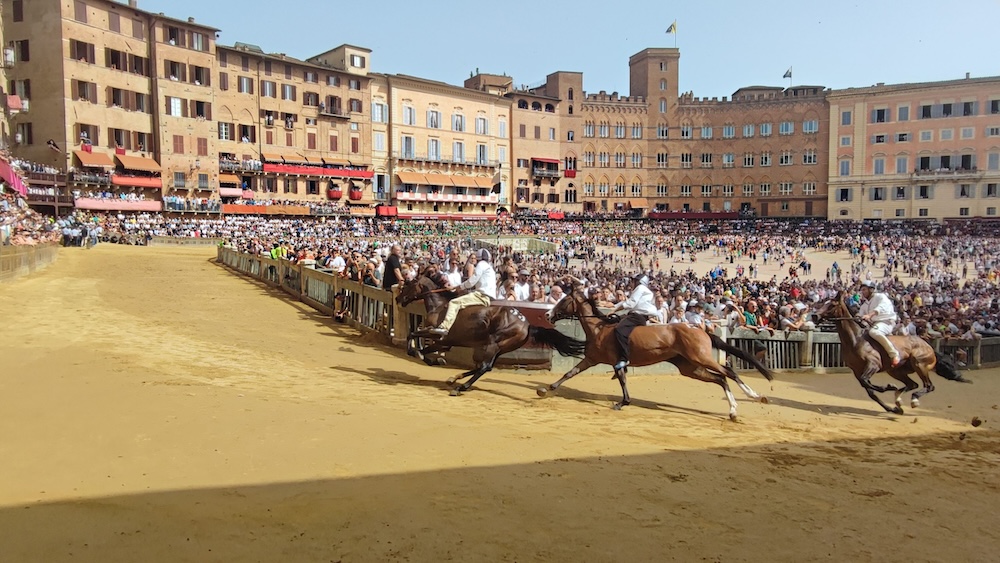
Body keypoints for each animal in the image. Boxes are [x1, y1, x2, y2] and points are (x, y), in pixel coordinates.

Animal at [396, 272, 584, 396]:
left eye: (408, 284)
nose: (398, 299)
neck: (440, 307)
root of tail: (527, 324)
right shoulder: (444, 342)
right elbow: (421, 345)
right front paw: (430, 358)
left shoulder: (438, 336)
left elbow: (413, 336)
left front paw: (421, 355)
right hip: (499, 348)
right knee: (485, 366)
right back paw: (455, 379)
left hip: (492, 345)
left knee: (485, 366)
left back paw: (460, 387)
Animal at [540, 288, 772, 420]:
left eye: (563, 301)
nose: (547, 314)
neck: (600, 329)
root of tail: (700, 329)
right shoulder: (592, 359)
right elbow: (570, 373)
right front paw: (546, 389)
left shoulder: (614, 360)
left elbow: (621, 380)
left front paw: (622, 402)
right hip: (690, 367)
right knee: (720, 378)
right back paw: (732, 411)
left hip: (701, 358)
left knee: (729, 372)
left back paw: (753, 396)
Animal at [812, 290, 968, 414]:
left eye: (831, 305)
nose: (814, 316)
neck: (856, 339)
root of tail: (929, 347)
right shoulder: (856, 370)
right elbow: (869, 389)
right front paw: (892, 407)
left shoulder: (873, 365)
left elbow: (867, 382)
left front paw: (888, 387)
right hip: (896, 371)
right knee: (913, 384)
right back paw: (898, 400)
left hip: (920, 364)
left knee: (928, 386)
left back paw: (914, 399)